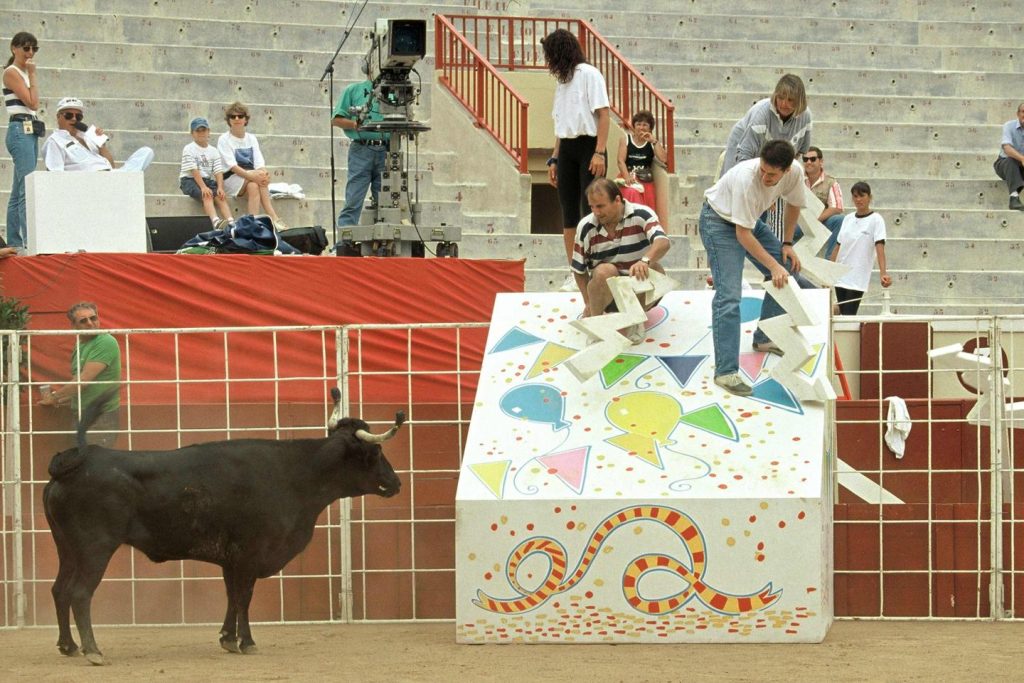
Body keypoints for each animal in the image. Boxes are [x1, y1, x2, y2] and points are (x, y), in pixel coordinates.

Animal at [44, 393, 403, 663]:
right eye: (375, 451)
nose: (396, 482)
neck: (293, 474)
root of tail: (80, 459)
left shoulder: (232, 559)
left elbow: (232, 596)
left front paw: (228, 639)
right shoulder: (250, 553)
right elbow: (244, 596)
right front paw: (247, 642)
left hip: (67, 548)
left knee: (60, 589)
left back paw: (69, 646)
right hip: (95, 547)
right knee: (80, 593)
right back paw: (93, 650)